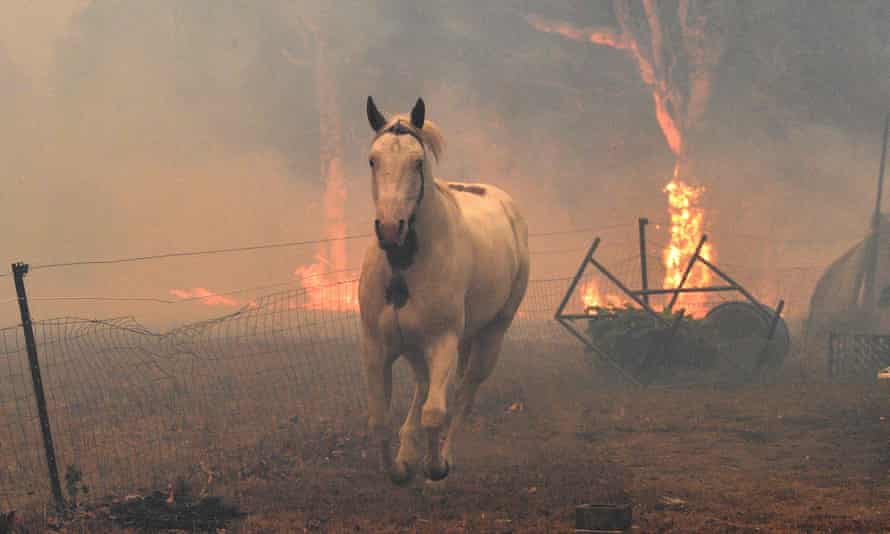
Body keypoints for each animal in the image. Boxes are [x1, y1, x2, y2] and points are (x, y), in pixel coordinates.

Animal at [358, 97, 528, 486]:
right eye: (373, 160)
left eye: (417, 162)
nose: (389, 229)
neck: (404, 267)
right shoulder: (377, 346)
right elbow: (379, 419)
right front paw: (398, 469)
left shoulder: (443, 341)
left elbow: (435, 412)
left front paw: (434, 466)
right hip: (418, 347)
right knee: (424, 388)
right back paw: (408, 450)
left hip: (490, 335)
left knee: (464, 393)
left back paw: (444, 455)